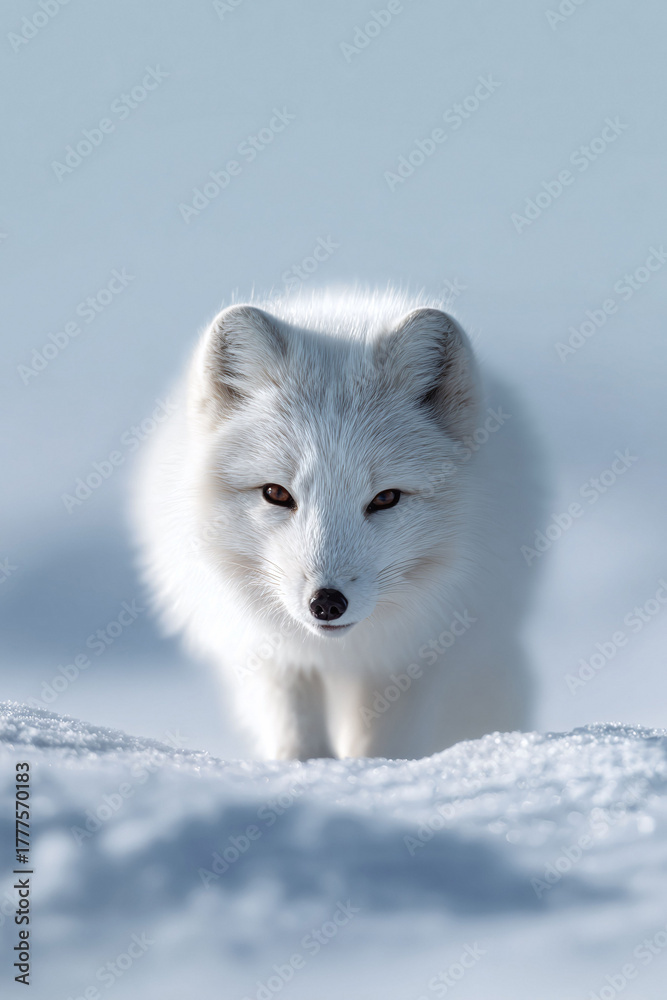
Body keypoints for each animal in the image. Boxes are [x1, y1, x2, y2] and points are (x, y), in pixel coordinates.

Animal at [133, 290, 545, 761]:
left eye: (385, 498)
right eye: (276, 493)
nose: (327, 603)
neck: (338, 652)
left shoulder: (413, 657)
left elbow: (382, 743)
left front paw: (372, 771)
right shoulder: (269, 656)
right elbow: (296, 732)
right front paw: (307, 770)